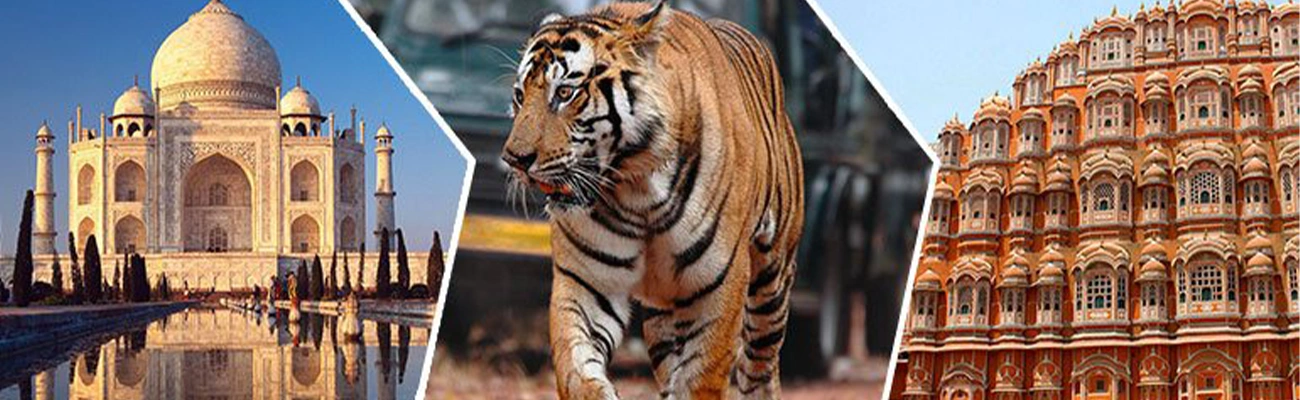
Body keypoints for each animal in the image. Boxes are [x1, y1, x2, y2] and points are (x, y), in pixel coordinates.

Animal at [501, 1, 803, 398]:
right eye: (520, 96)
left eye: (565, 93)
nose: (514, 159)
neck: (636, 191)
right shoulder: (586, 283)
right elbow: (577, 370)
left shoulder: (719, 289)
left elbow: (701, 377)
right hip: (665, 316)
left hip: (771, 282)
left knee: (760, 367)